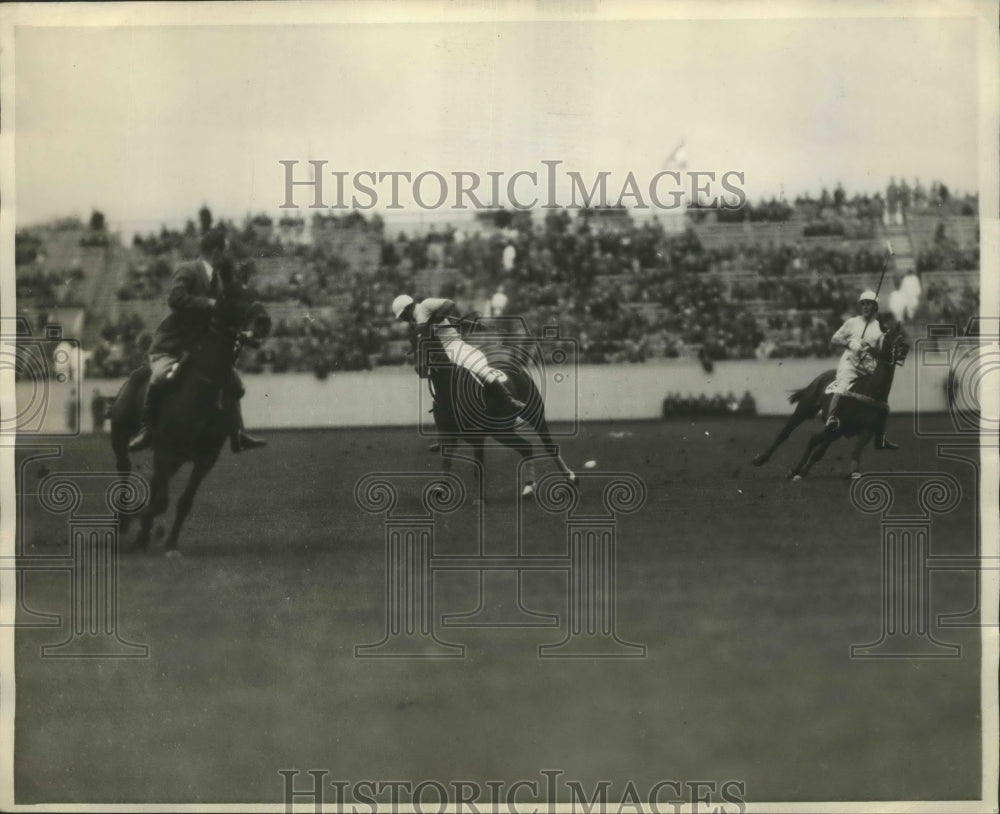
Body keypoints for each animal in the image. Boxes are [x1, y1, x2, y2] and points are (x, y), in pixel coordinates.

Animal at [110, 276, 270, 556]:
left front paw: (170, 543)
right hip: (121, 436)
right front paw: (144, 527)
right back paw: (126, 520)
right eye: (233, 295)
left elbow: (184, 501)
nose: (264, 321)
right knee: (125, 469)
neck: (205, 385)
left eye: (256, 293)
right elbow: (161, 501)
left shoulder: (206, 458)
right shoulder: (165, 451)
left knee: (155, 482)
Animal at [422, 320, 580, 500]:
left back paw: (570, 476)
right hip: (502, 430)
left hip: (532, 415)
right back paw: (529, 486)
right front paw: (440, 489)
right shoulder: (447, 435)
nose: (421, 367)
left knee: (547, 445)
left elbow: (477, 468)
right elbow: (446, 463)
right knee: (526, 447)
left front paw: (479, 499)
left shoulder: (477, 438)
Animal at [752, 320, 908, 482]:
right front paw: (801, 472)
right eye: (888, 337)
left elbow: (856, 450)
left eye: (902, 335)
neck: (870, 391)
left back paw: (795, 469)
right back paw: (762, 459)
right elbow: (819, 452)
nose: (904, 348)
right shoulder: (837, 427)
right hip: (805, 408)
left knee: (813, 439)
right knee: (785, 433)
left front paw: (853, 472)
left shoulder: (867, 429)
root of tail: (820, 377)